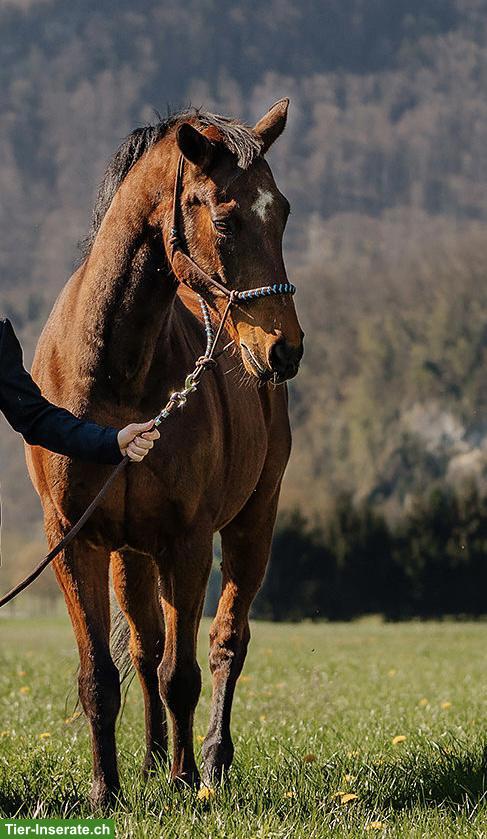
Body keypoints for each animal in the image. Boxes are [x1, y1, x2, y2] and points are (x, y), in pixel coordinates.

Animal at [26, 98, 304, 806]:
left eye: (283, 211)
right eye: (225, 217)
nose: (284, 351)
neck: (115, 375)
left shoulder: (188, 540)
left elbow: (186, 672)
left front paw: (186, 784)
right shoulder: (77, 540)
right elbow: (102, 673)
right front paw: (107, 793)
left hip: (251, 525)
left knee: (224, 641)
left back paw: (207, 761)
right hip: (131, 553)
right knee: (147, 650)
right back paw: (152, 761)